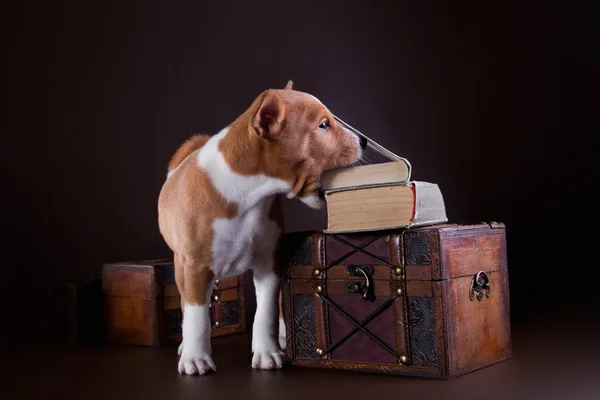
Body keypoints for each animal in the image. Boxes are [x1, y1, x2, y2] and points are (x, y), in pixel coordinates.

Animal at [159, 81, 364, 376]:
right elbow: (197, 315)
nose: (364, 141)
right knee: (187, 303)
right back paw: (187, 346)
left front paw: (267, 350)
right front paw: (195, 357)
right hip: (180, 266)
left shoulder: (269, 263)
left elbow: (265, 312)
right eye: (324, 125)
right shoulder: (195, 266)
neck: (249, 196)